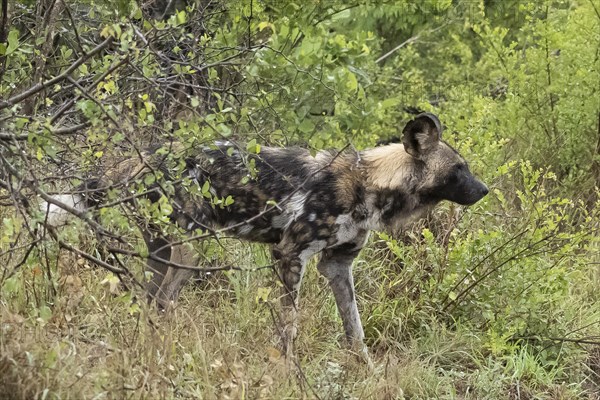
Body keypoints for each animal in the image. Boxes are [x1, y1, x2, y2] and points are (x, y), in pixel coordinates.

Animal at [45, 112, 488, 360]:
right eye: (459, 169)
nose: (484, 190)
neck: (369, 184)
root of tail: (138, 157)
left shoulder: (337, 265)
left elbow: (355, 331)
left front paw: (365, 371)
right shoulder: (290, 256)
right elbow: (288, 327)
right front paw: (288, 371)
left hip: (167, 252)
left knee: (148, 301)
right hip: (188, 251)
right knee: (162, 302)